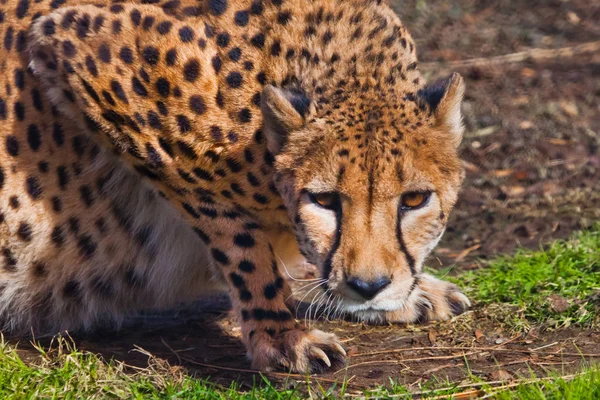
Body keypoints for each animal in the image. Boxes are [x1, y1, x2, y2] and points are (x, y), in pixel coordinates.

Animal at [0, 0, 468, 374]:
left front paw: (404, 292)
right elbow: (239, 239)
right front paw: (281, 335)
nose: (369, 286)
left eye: (414, 199)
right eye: (324, 200)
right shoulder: (75, 48)